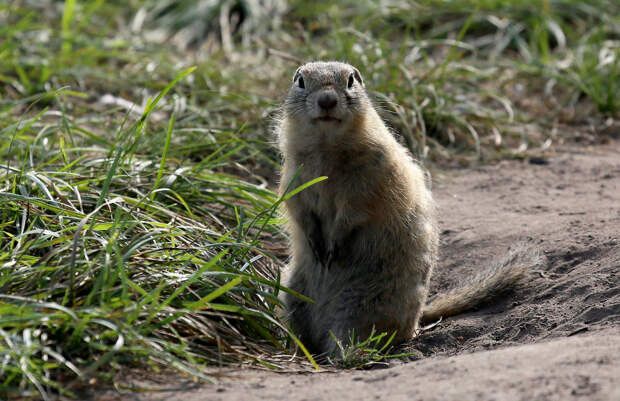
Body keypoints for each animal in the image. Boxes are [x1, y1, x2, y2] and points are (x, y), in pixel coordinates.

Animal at [278, 61, 544, 354]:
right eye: (300, 81)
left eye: (351, 81)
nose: (326, 100)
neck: (326, 147)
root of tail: (418, 321)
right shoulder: (293, 178)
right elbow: (299, 210)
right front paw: (316, 242)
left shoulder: (370, 182)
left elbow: (354, 213)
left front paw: (335, 244)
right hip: (293, 294)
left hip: (359, 309)